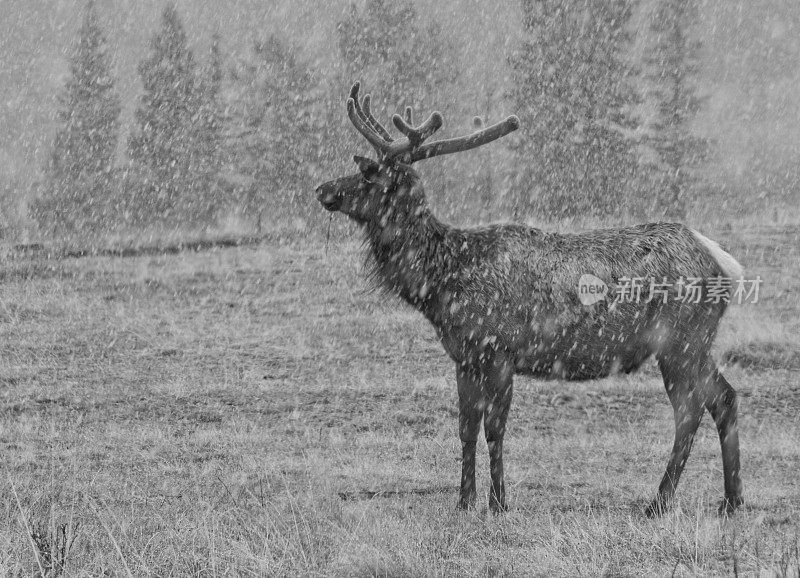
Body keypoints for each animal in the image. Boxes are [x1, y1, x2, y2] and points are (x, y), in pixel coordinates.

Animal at [314, 80, 744, 512]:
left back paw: (659, 502)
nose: (322, 188)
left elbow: (494, 429)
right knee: (724, 397)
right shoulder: (464, 357)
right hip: (694, 344)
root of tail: (723, 261)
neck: (442, 288)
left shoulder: (500, 351)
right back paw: (732, 500)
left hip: (680, 340)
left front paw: (499, 503)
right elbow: (465, 428)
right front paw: (464, 501)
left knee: (689, 412)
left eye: (368, 174)